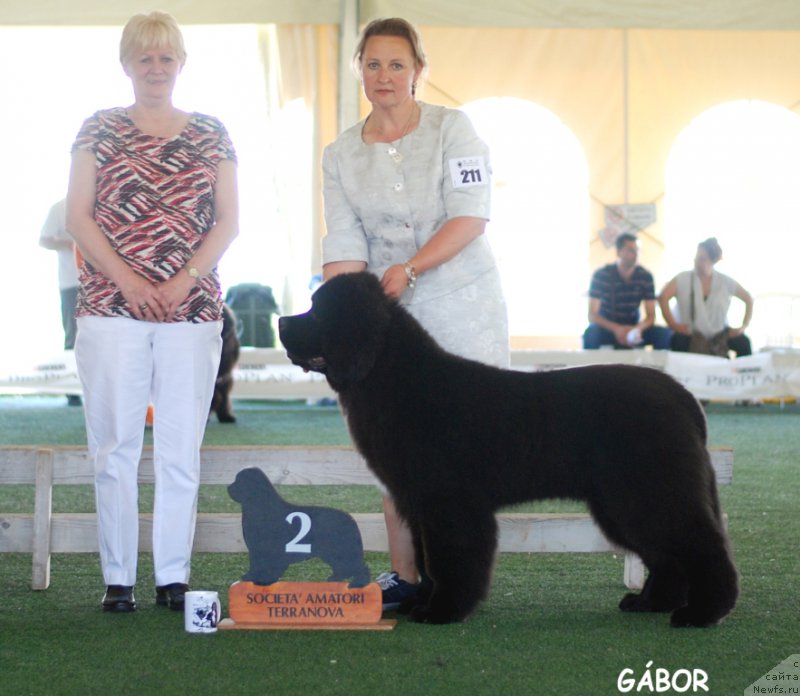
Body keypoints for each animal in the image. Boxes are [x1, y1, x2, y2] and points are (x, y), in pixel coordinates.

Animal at [278, 272, 740, 624]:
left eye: (316, 310)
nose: (281, 322)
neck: (394, 378)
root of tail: (681, 394)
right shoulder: (421, 504)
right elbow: (427, 561)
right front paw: (422, 602)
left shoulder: (449, 503)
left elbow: (450, 559)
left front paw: (441, 612)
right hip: (623, 502)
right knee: (666, 555)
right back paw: (649, 603)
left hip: (651, 492)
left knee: (701, 546)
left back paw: (702, 613)